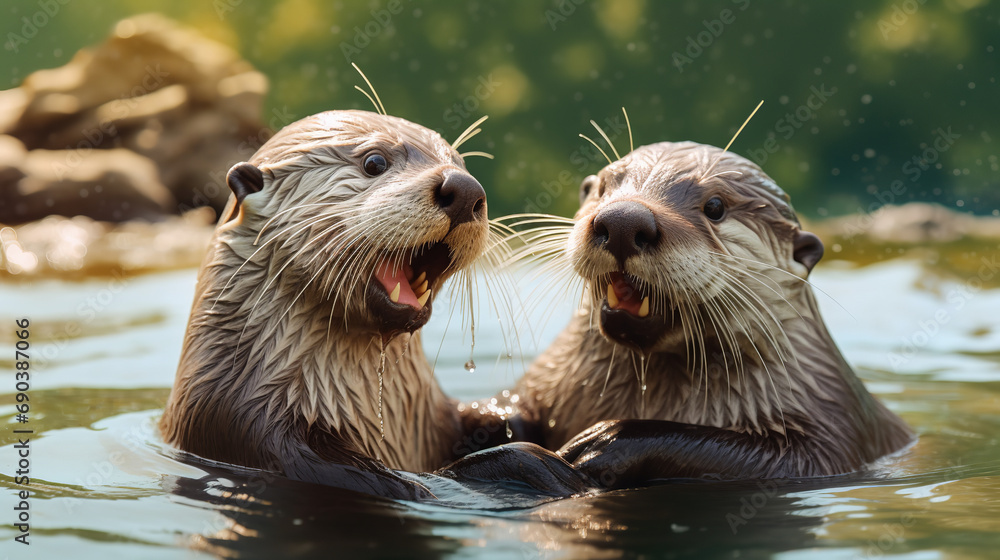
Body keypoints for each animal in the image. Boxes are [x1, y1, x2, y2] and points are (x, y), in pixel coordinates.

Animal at [500, 142, 916, 488]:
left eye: (715, 207)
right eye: (604, 188)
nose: (622, 220)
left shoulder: (833, 433)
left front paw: (602, 443)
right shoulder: (544, 385)